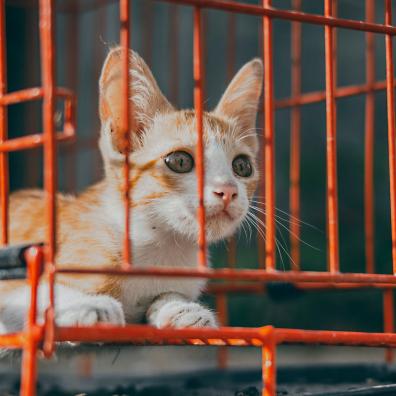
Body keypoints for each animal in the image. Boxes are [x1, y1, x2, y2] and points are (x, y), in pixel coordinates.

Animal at [0, 48, 262, 332]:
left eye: (242, 166)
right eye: (180, 161)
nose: (227, 190)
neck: (159, 247)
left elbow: (169, 294)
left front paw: (183, 309)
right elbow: (34, 291)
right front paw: (88, 304)